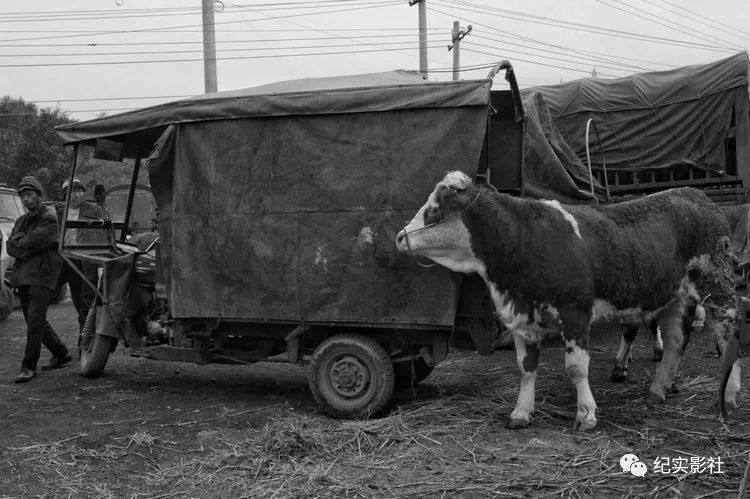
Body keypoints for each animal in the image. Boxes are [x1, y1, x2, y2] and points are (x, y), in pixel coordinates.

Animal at [396, 171, 736, 430]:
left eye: (435, 209)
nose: (400, 236)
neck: (524, 239)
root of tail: (695, 194)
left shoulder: (575, 314)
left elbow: (576, 368)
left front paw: (586, 414)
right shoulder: (523, 319)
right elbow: (526, 368)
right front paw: (521, 412)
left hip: (718, 288)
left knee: (726, 334)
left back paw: (730, 395)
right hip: (673, 295)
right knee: (676, 339)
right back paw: (657, 389)